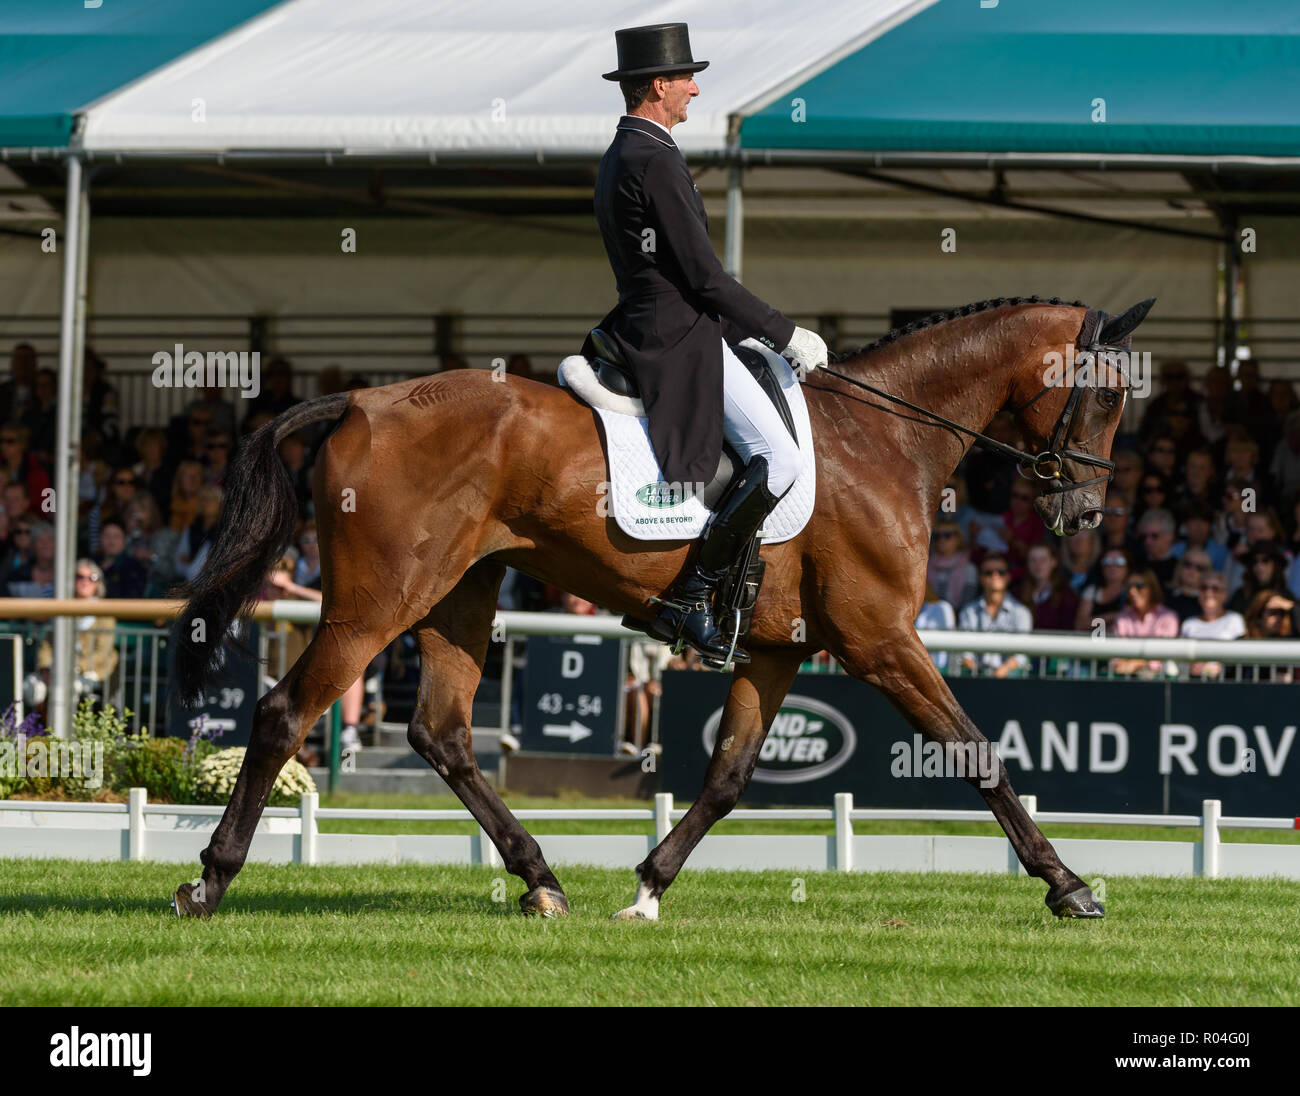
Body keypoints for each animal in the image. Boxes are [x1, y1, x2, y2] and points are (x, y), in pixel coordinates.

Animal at [170, 295, 1149, 920]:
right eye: (1104, 395)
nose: (1085, 515)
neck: (887, 439)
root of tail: (363, 399)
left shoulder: (778, 650)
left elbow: (727, 778)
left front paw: (647, 888)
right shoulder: (879, 641)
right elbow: (977, 752)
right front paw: (1069, 886)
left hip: (461, 596)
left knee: (442, 734)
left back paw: (540, 880)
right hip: (376, 606)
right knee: (284, 712)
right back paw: (209, 883)